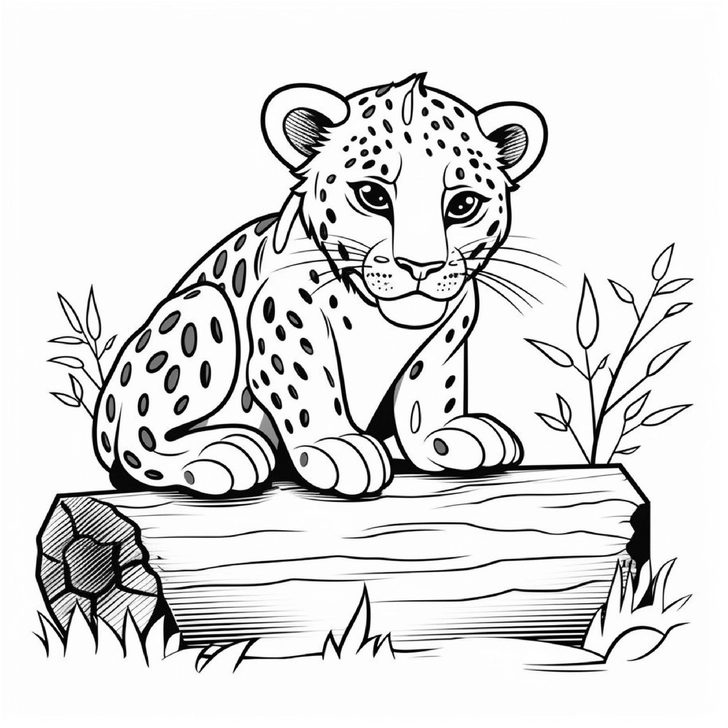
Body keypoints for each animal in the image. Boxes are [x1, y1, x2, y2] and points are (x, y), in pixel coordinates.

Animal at [92, 73, 547, 497]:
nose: (421, 266)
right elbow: (306, 382)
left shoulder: (450, 329)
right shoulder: (286, 317)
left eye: (463, 204)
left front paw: (447, 435)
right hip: (201, 308)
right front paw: (336, 446)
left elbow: (429, 388)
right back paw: (222, 452)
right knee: (138, 441)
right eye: (372, 195)